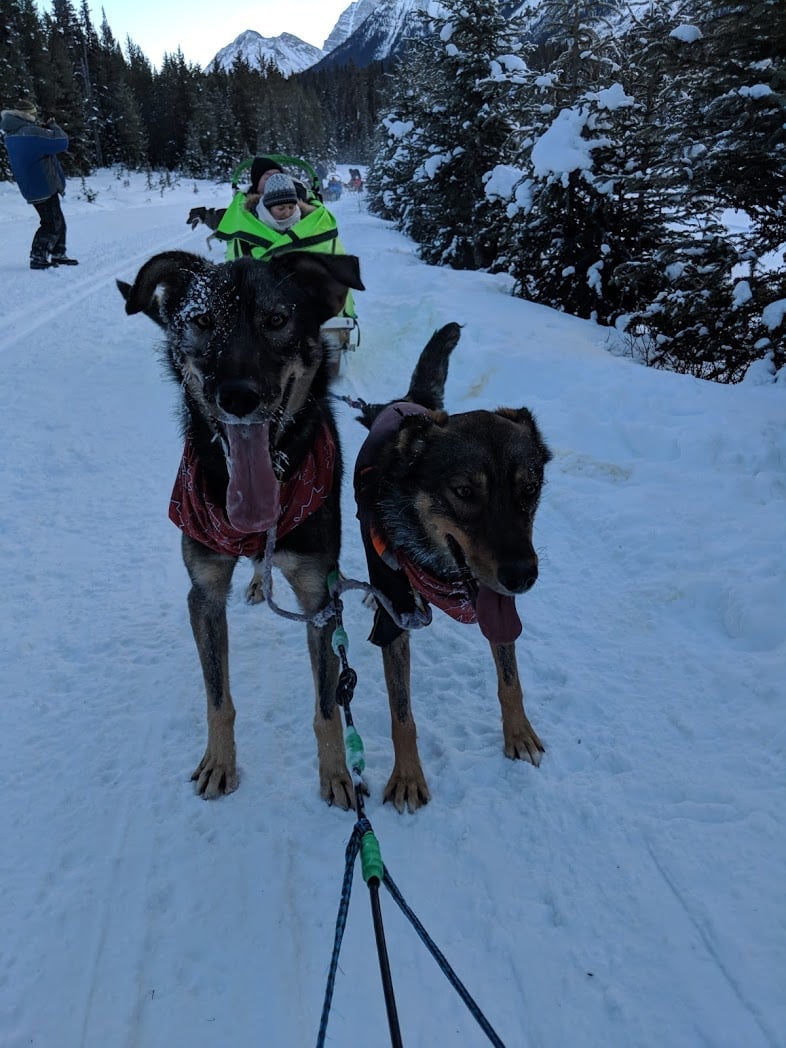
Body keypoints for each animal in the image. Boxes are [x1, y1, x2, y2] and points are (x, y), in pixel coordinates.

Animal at [117, 249, 366, 804]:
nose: (237, 396)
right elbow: (217, 698)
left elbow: (327, 708)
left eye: (276, 319)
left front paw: (337, 774)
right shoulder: (204, 593)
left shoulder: (319, 599)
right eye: (202, 320)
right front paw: (219, 762)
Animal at [356, 322, 553, 813]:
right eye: (464, 491)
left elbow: (510, 679)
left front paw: (519, 734)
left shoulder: (498, 603)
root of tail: (410, 403)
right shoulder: (396, 621)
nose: (522, 576)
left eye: (530, 487)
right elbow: (402, 714)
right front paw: (408, 776)